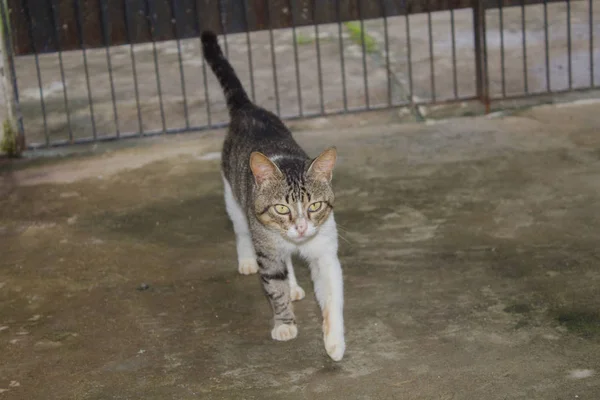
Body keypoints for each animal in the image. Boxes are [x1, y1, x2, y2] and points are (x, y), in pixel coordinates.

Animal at [200, 32, 344, 362]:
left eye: (314, 206)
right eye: (281, 208)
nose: (300, 227)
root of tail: (247, 107)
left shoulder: (325, 250)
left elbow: (332, 295)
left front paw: (334, 341)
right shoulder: (267, 246)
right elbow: (274, 289)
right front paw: (285, 323)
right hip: (234, 199)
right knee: (241, 230)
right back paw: (247, 261)